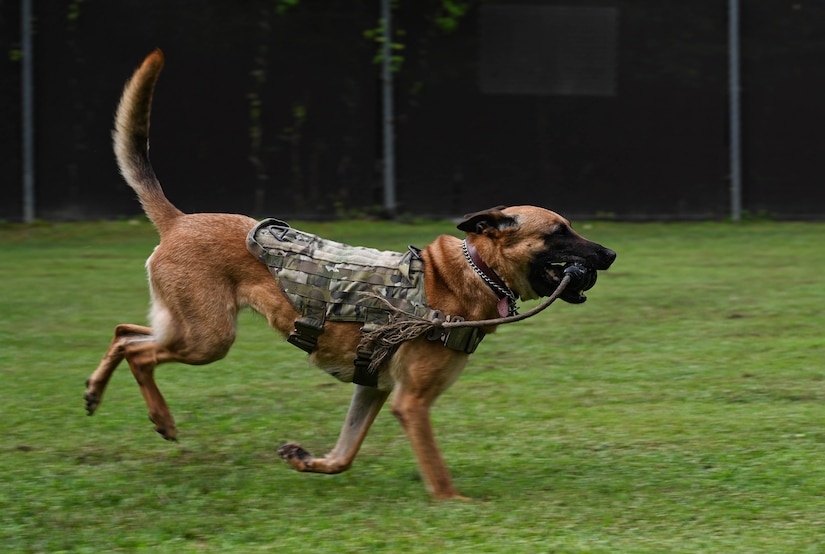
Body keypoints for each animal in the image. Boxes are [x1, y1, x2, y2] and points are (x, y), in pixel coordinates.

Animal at [87, 51, 616, 498]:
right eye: (560, 233)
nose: (610, 254)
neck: (471, 274)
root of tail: (178, 219)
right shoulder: (410, 402)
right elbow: (437, 472)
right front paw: (459, 504)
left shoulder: (372, 388)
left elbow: (344, 453)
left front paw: (306, 460)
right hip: (209, 338)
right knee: (139, 352)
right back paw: (161, 418)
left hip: (190, 327)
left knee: (124, 332)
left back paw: (95, 391)